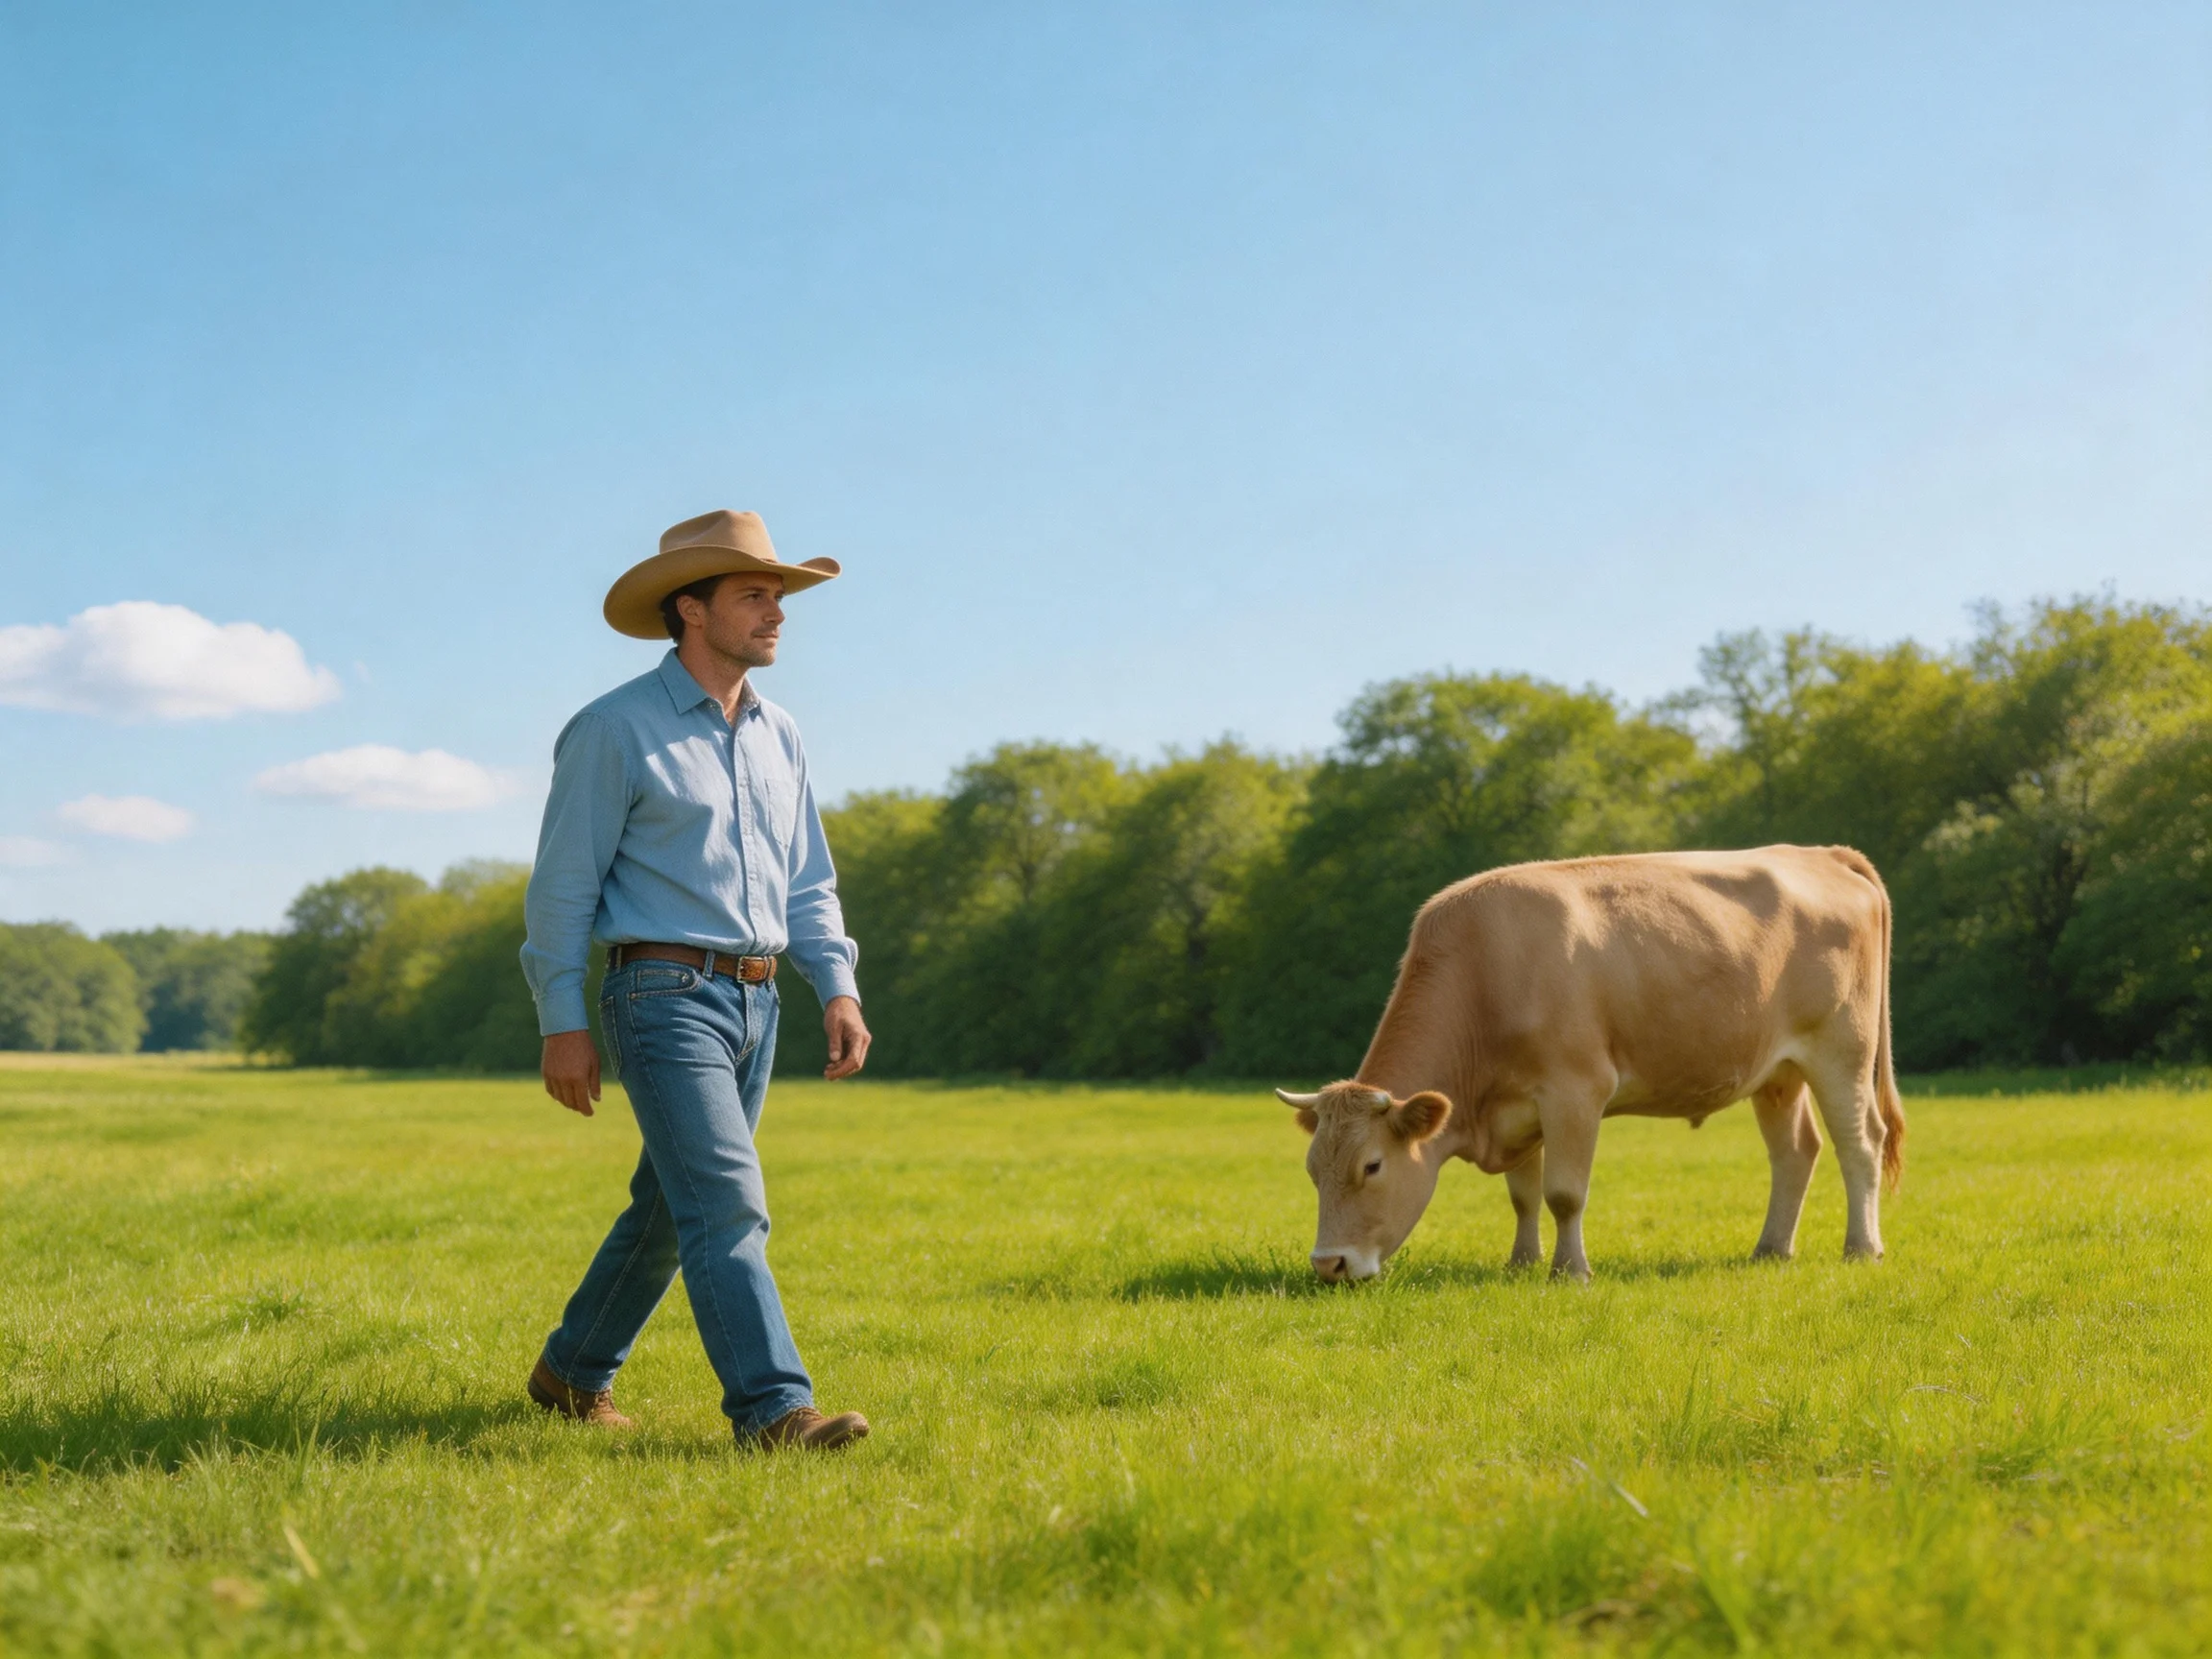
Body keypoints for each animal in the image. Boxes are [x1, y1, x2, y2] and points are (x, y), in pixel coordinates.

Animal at [1276, 845, 1905, 1282]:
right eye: (1312, 1169)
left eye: (1373, 1166)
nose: (1329, 1264)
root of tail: (1818, 853)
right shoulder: (1516, 1108)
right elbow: (1523, 1194)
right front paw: (1522, 1264)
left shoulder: (1575, 1091)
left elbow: (1563, 1193)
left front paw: (1569, 1271)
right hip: (1777, 1071)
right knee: (1795, 1151)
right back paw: (1771, 1250)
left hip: (1842, 1051)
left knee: (1859, 1144)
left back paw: (1862, 1248)